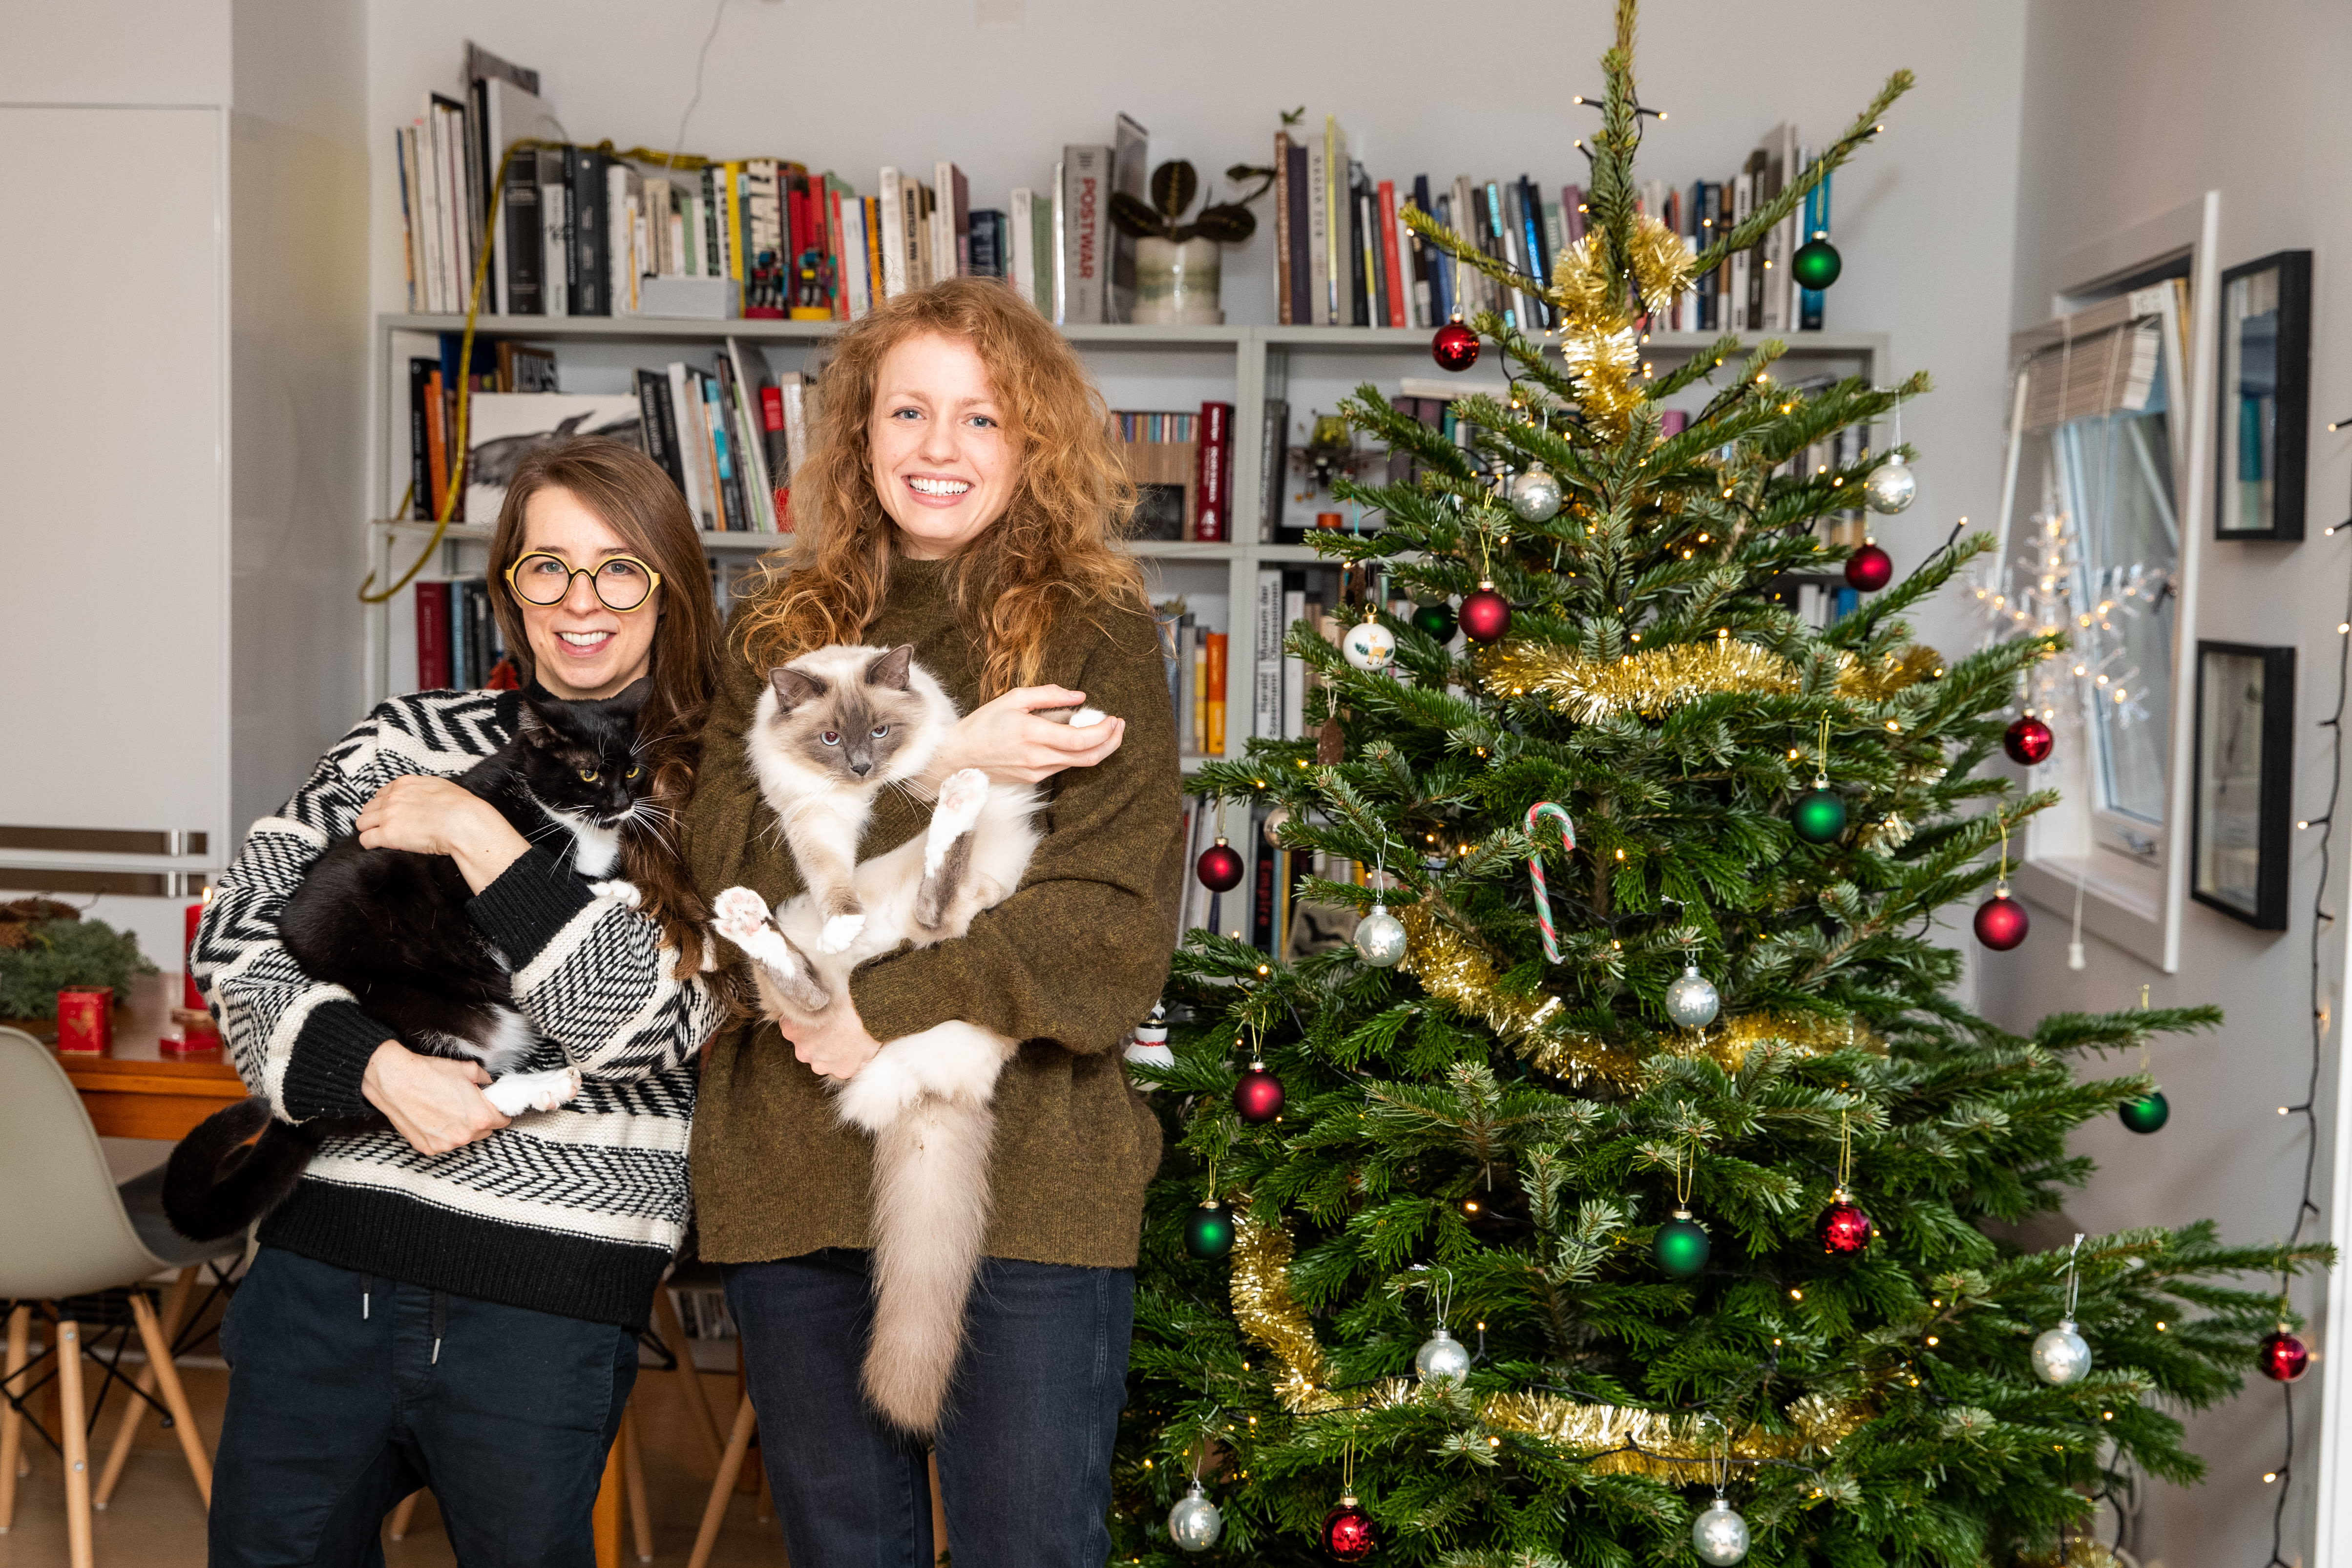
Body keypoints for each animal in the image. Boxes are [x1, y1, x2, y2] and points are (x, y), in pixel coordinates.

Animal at [162, 681, 656, 1243]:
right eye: (590, 773)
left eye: (633, 771)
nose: (622, 802)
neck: (567, 821)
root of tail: (300, 1120)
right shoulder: (461, 879)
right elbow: (540, 880)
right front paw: (610, 888)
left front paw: (616, 885)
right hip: (410, 1005)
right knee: (442, 1095)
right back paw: (544, 1085)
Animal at [711, 642, 1104, 1433]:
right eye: (831, 738)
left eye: (882, 732)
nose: (865, 768)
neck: (866, 796)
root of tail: (927, 1086)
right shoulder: (815, 820)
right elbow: (833, 881)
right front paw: (845, 918)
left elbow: (1031, 729)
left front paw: (1084, 723)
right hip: (812, 963)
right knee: (820, 982)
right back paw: (750, 917)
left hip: (975, 901)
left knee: (933, 910)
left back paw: (956, 801)